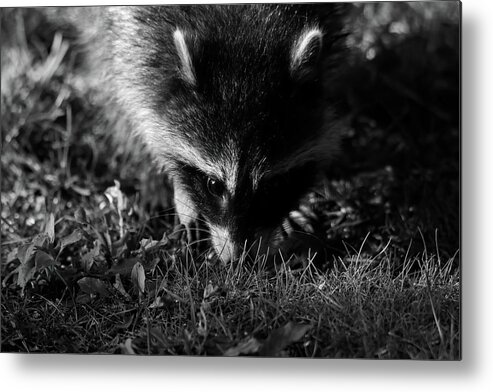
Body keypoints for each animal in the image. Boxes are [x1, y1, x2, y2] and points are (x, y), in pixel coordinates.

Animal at [66, 4, 346, 264]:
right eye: (213, 185)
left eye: (272, 186)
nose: (238, 260)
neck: (244, 27)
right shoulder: (136, 32)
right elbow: (132, 91)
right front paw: (180, 191)